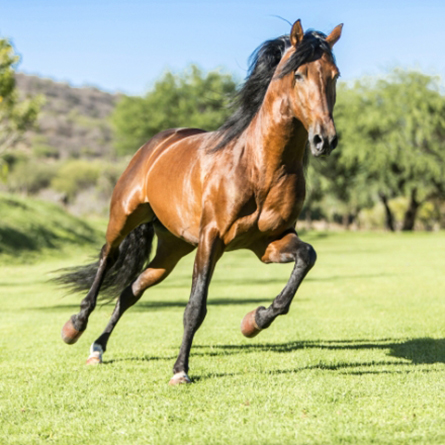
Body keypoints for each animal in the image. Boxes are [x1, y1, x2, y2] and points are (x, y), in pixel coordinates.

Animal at [58, 19, 344, 384]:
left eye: (334, 74)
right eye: (299, 74)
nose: (325, 140)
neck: (258, 167)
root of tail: (158, 143)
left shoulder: (269, 242)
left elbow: (306, 258)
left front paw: (254, 321)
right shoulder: (212, 238)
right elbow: (195, 307)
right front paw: (180, 370)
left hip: (171, 249)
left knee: (130, 291)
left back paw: (98, 349)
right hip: (123, 218)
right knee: (107, 260)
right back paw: (74, 327)